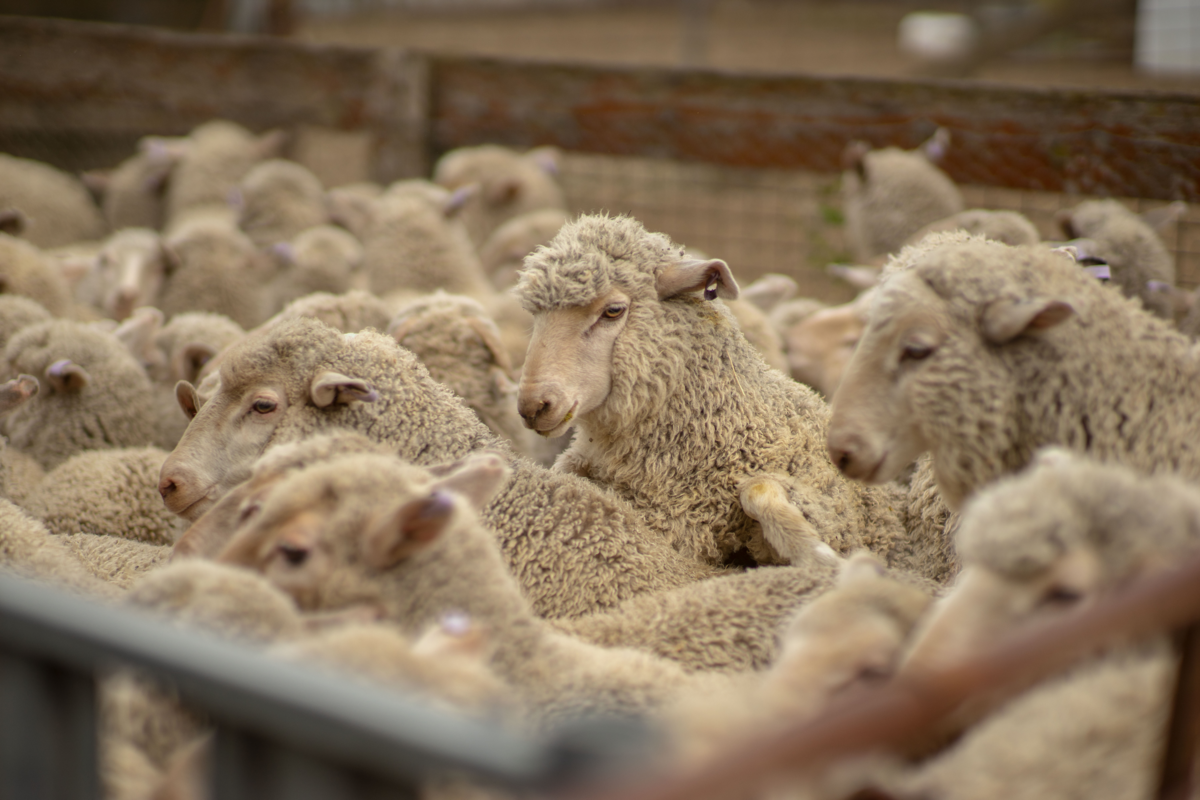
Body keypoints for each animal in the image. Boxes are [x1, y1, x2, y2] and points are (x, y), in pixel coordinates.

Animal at [515, 214, 950, 581]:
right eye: (534, 316)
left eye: (613, 310)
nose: (533, 406)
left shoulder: (833, 507)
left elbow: (757, 491)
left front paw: (821, 556)